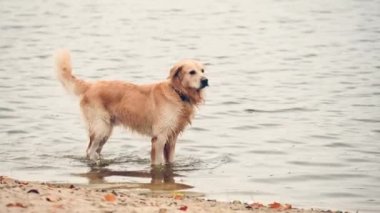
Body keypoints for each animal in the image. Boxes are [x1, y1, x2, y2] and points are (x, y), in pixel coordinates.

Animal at [54, 49, 208, 165]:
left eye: (202, 70)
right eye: (192, 72)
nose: (205, 80)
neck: (177, 93)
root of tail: (91, 85)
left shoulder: (172, 138)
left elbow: (170, 161)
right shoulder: (159, 137)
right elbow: (158, 162)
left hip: (106, 130)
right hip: (101, 128)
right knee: (90, 150)